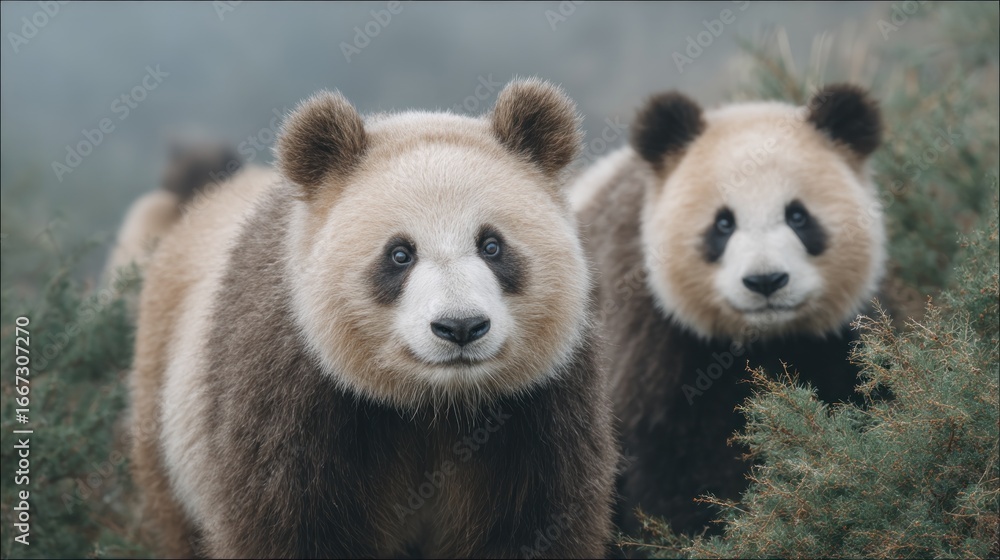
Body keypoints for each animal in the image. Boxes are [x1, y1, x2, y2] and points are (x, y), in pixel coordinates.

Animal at [130, 78, 618, 558]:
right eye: (400, 254)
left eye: (492, 245)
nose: (460, 327)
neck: (438, 404)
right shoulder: (292, 389)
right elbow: (290, 526)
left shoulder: (539, 405)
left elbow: (533, 525)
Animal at [571, 84, 885, 537]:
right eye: (723, 223)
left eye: (798, 216)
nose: (766, 281)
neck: (763, 341)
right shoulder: (649, 339)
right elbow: (676, 473)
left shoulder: (836, 341)